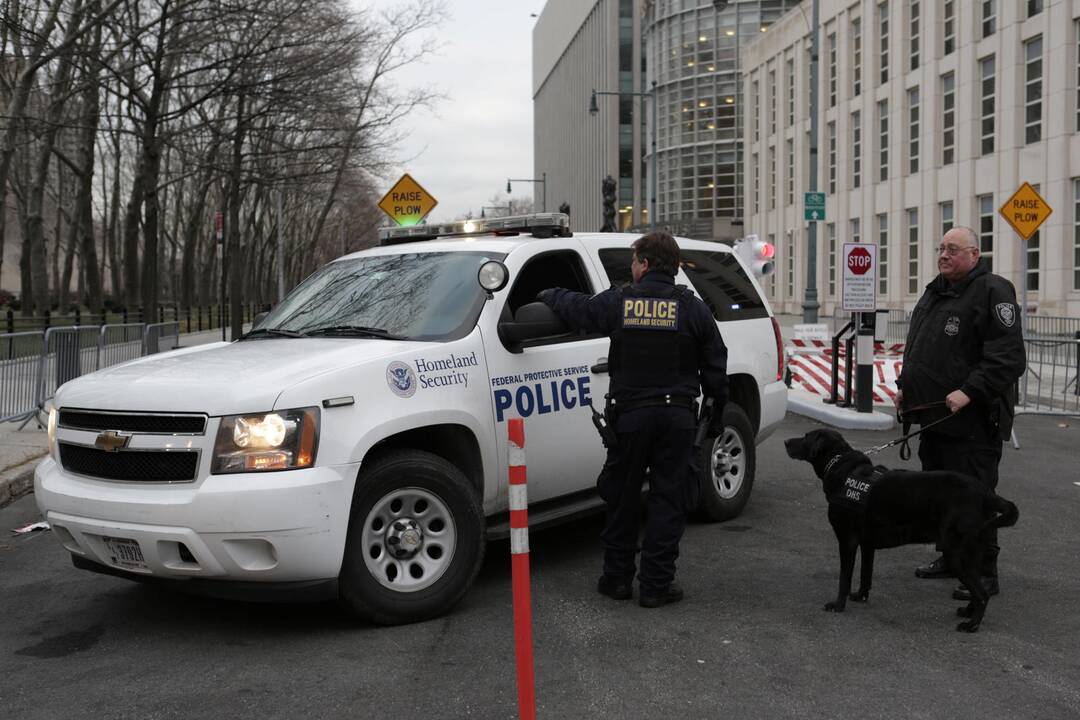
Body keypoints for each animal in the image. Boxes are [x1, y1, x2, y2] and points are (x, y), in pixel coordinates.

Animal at [781, 427, 1015, 630]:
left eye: (806, 437)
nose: (785, 442)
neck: (842, 467)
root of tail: (983, 492)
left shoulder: (847, 541)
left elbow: (844, 578)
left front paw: (838, 605)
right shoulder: (867, 543)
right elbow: (866, 573)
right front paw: (861, 596)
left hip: (956, 553)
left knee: (982, 594)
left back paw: (972, 625)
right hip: (971, 552)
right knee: (977, 590)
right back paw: (967, 613)